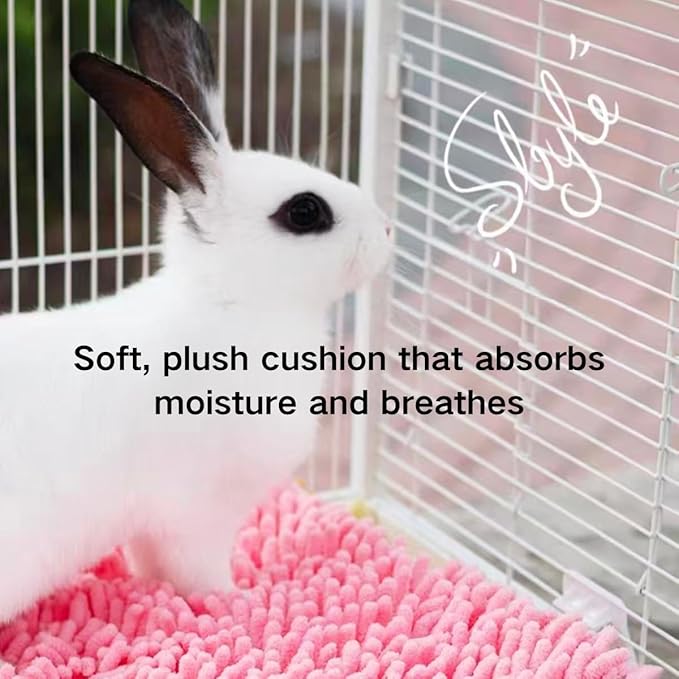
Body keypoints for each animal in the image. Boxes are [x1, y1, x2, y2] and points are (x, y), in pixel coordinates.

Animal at [0, 0, 390, 624]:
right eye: (305, 212)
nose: (386, 231)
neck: (232, 305)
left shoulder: (154, 530)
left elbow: (153, 570)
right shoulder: (194, 517)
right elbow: (201, 575)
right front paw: (239, 600)